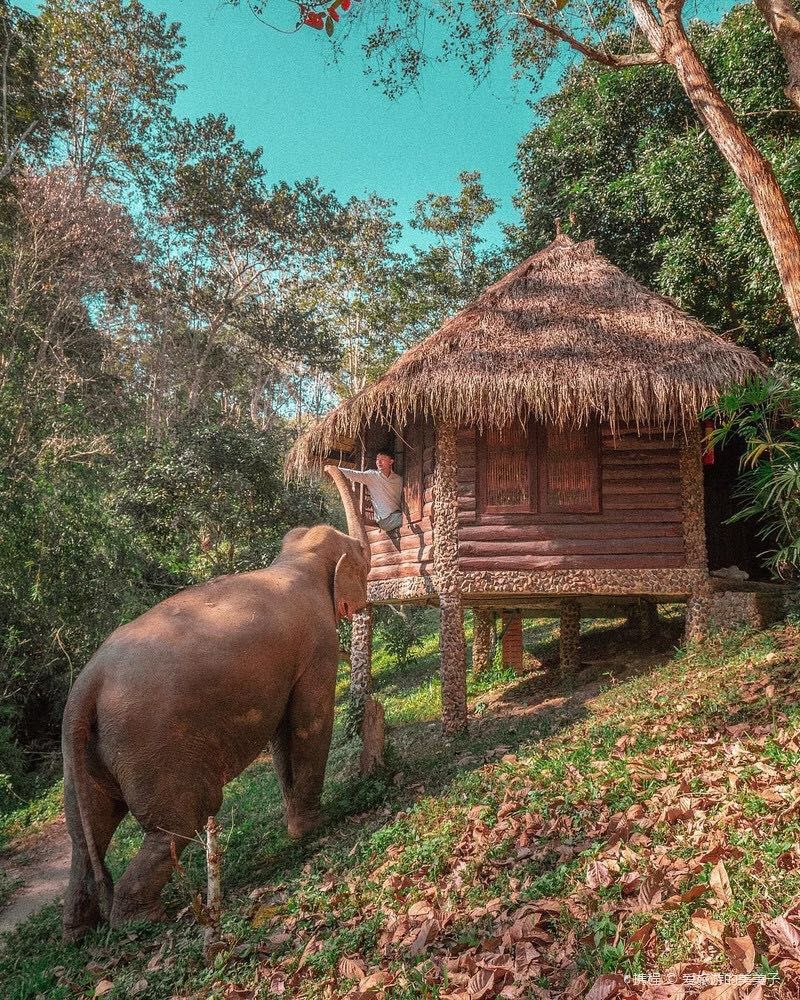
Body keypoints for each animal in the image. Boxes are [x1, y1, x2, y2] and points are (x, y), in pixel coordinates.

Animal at [61, 519, 370, 942]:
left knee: (84, 834)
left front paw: (295, 826)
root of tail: (86, 685)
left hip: (86, 755)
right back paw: (142, 921)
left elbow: (281, 736)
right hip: (152, 746)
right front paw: (312, 828)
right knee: (181, 820)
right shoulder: (318, 644)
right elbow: (309, 723)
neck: (295, 559)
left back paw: (79, 932)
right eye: (365, 558)